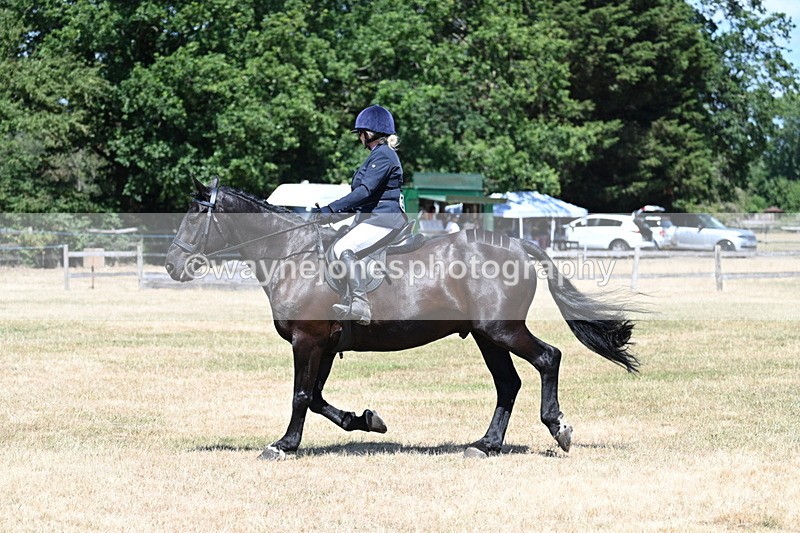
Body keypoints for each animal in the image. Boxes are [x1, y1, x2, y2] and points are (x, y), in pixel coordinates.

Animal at [164, 179, 639, 460]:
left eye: (194, 217)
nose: (172, 266)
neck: (290, 256)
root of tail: (519, 246)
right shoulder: (324, 345)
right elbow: (316, 397)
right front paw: (366, 421)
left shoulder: (307, 341)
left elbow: (300, 396)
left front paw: (283, 445)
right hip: (487, 336)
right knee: (508, 383)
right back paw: (485, 445)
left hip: (501, 330)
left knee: (548, 358)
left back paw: (558, 427)